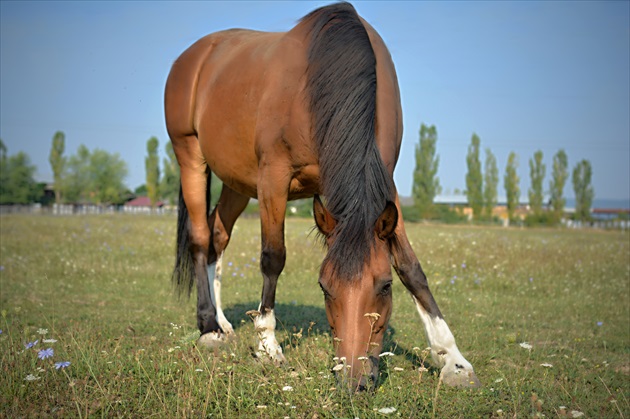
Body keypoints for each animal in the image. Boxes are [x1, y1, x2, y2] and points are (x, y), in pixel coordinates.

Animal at [165, 2, 482, 390]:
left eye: (385, 286)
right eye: (324, 288)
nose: (354, 380)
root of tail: (194, 56)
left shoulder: (386, 186)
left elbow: (411, 267)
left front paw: (453, 360)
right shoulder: (273, 177)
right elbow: (273, 257)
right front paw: (268, 346)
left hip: (236, 182)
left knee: (217, 236)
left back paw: (224, 323)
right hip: (190, 156)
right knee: (199, 237)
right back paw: (209, 327)